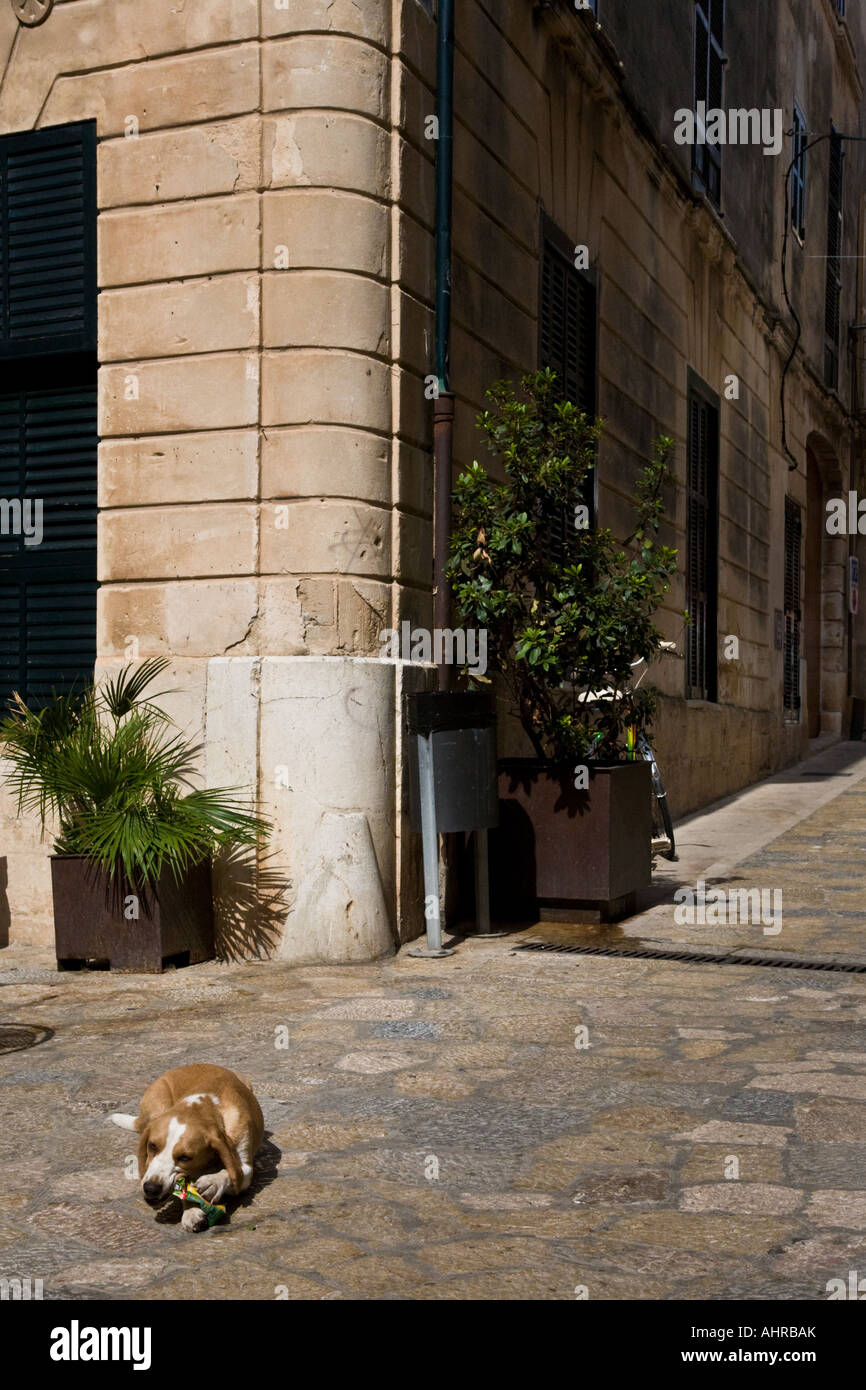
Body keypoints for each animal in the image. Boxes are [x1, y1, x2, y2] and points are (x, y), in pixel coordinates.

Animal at [111, 1067, 264, 1234]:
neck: (207, 1106)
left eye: (185, 1157)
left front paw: (213, 1182)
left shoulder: (246, 1169)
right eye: (152, 1146)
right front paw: (191, 1211)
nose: (151, 1188)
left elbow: (228, 1173)